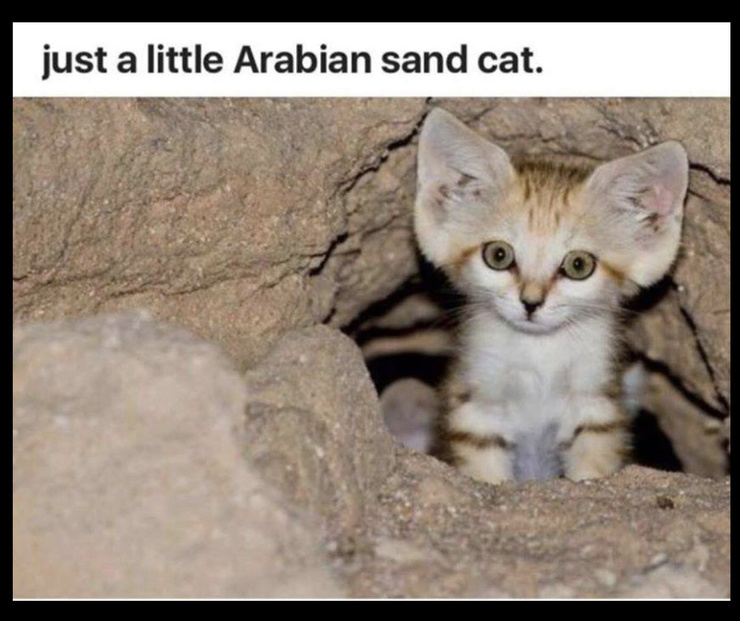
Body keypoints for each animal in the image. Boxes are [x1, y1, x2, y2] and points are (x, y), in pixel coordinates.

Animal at [413, 108, 688, 483]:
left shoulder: (596, 404)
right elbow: (485, 470)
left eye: (578, 265)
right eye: (498, 255)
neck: (538, 352)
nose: (531, 302)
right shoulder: (476, 406)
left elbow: (592, 464)